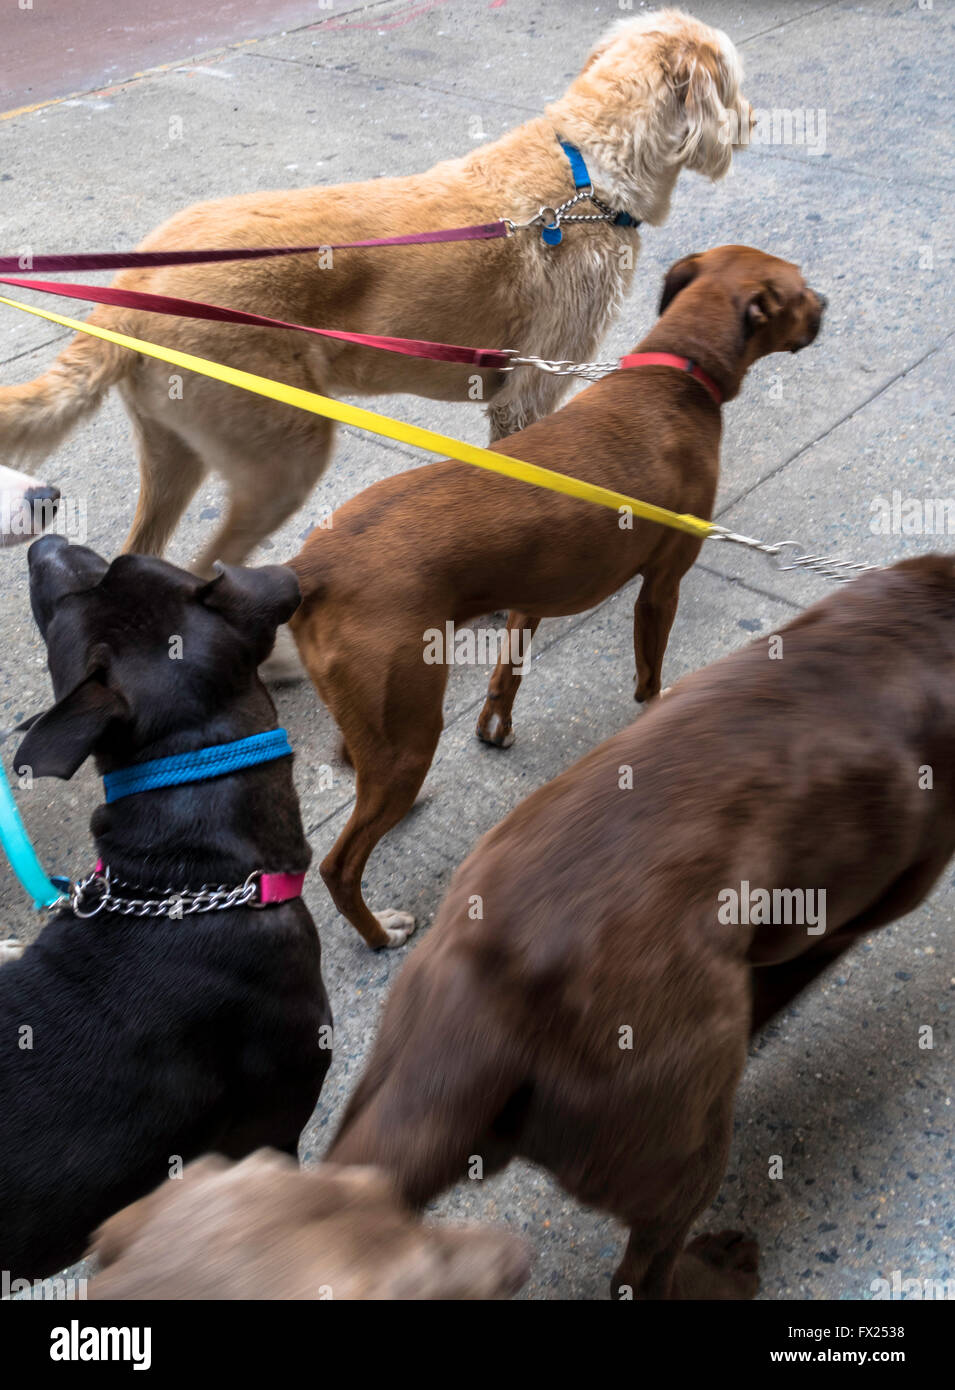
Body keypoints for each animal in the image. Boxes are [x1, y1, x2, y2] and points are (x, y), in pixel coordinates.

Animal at [0, 6, 745, 569]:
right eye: (735, 84)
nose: (753, 123)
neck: (588, 172)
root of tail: (130, 287)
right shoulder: (531, 390)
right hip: (285, 457)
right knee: (207, 568)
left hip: (173, 451)